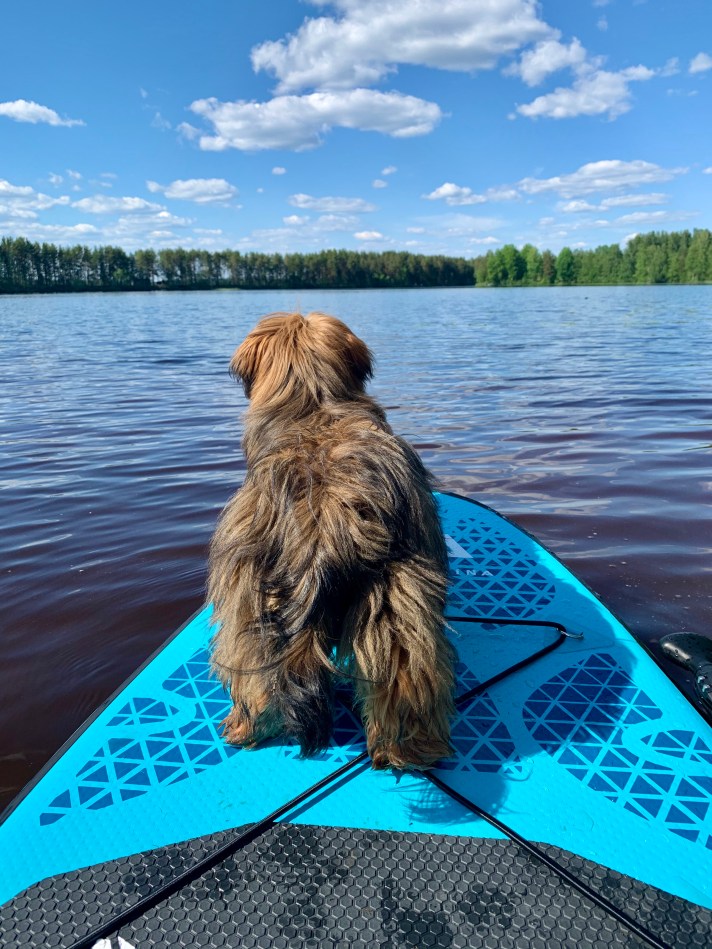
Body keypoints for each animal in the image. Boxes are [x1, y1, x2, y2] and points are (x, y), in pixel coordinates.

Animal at [208, 311, 455, 769]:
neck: (314, 405)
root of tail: (323, 522)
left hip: (247, 592)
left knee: (249, 665)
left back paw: (247, 726)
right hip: (394, 597)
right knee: (405, 675)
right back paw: (411, 749)